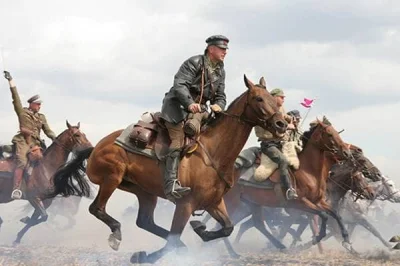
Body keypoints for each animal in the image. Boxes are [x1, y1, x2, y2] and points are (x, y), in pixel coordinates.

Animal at [48, 74, 290, 264]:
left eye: (273, 99)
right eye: (259, 98)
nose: (282, 124)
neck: (213, 152)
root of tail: (97, 147)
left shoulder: (214, 202)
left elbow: (227, 227)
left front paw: (200, 230)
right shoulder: (185, 204)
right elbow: (174, 238)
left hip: (144, 192)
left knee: (145, 221)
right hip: (112, 178)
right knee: (97, 208)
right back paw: (116, 234)